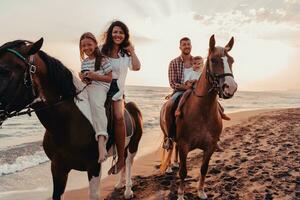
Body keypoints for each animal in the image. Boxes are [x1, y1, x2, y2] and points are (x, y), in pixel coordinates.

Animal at [0, 38, 144, 199]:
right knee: (122, 160)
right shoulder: (58, 167)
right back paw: (120, 184)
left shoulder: (94, 167)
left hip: (134, 145)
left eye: (5, 71)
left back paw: (128, 191)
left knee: (129, 162)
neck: (68, 124)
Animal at [159, 35, 237, 199]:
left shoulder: (210, 147)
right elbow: (183, 172)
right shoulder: (184, 145)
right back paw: (169, 167)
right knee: (170, 146)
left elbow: (203, 169)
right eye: (213, 60)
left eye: (231, 60)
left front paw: (201, 191)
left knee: (174, 149)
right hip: (166, 135)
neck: (202, 113)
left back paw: (174, 163)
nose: (231, 87)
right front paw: (181, 194)